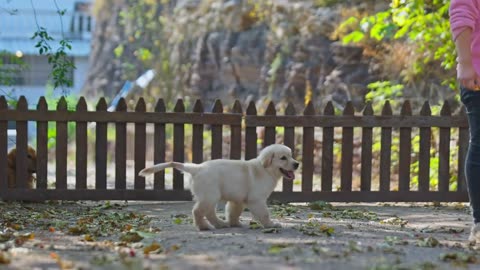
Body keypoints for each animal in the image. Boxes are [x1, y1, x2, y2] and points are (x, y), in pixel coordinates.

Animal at [138, 144, 300, 231]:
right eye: (283, 158)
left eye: (291, 156)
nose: (297, 164)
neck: (265, 169)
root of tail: (196, 168)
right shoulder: (257, 200)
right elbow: (264, 214)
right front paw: (271, 224)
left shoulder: (238, 199)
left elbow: (234, 212)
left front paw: (234, 223)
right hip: (210, 195)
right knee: (198, 211)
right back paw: (204, 227)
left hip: (210, 196)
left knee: (209, 212)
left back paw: (220, 224)